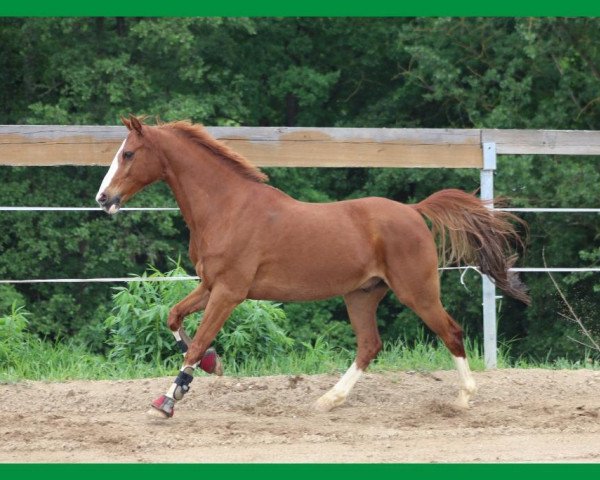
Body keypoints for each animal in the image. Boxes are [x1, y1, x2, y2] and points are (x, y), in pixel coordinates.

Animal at [95, 114, 528, 418]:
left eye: (128, 154)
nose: (103, 198)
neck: (227, 208)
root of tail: (413, 211)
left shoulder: (229, 292)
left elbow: (197, 339)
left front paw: (168, 399)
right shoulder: (209, 286)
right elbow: (174, 317)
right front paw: (211, 365)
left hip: (416, 291)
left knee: (450, 333)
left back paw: (463, 399)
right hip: (361, 295)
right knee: (370, 345)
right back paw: (328, 400)